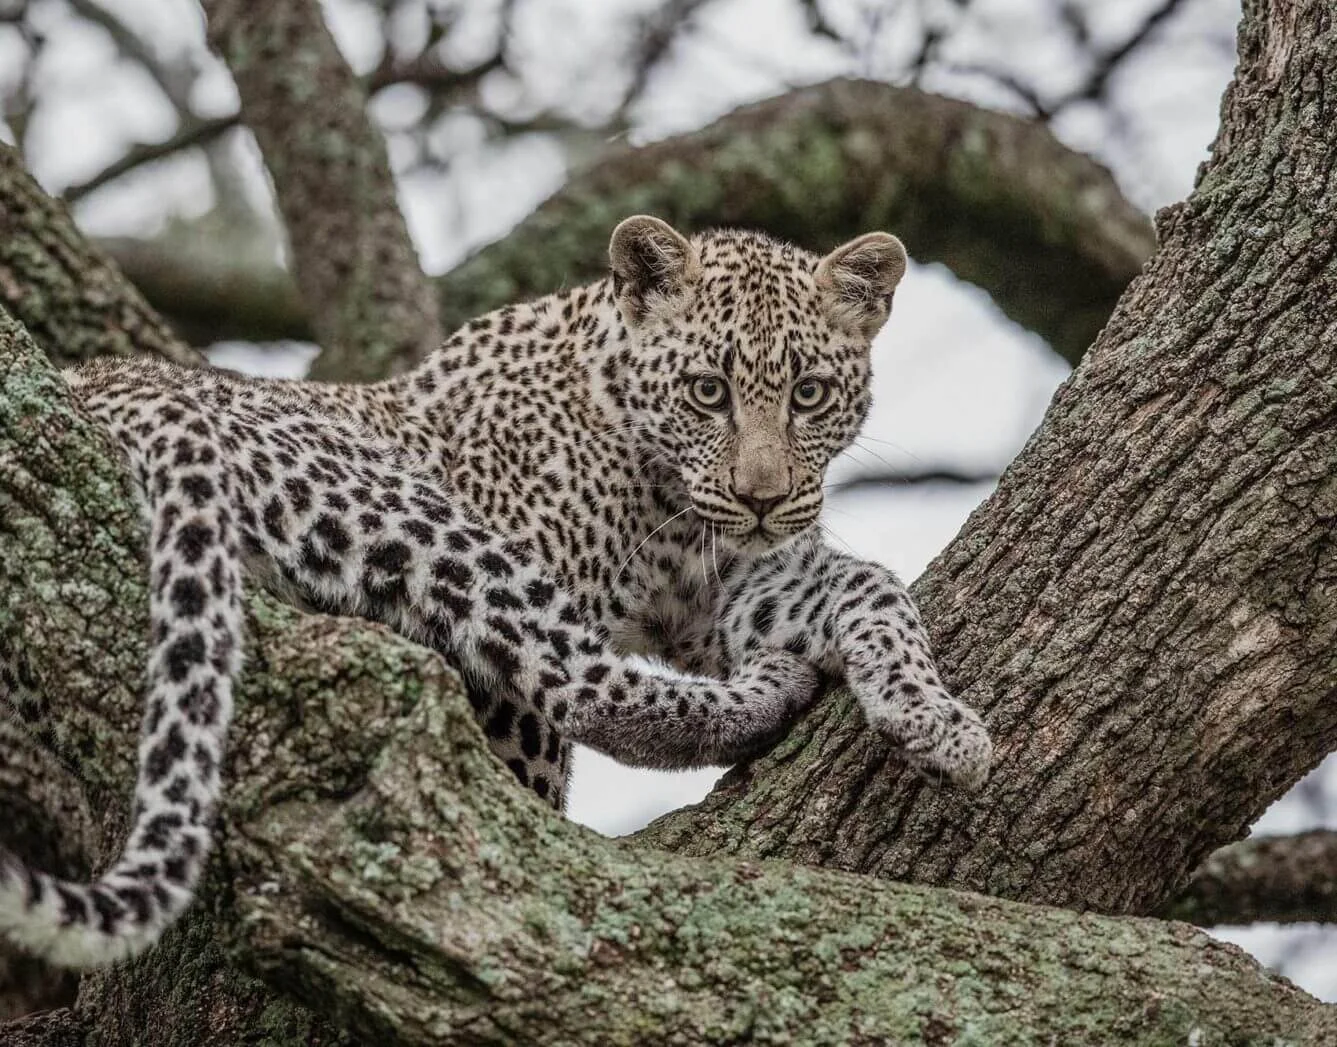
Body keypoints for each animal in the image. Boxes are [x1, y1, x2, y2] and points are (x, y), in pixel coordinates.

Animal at [0, 215, 992, 968]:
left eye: (810, 393)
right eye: (707, 391)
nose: (761, 495)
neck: (663, 494)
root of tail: (102, 379)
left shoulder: (733, 591)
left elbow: (871, 586)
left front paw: (933, 719)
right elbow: (533, 755)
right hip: (408, 511)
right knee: (577, 680)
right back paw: (766, 693)